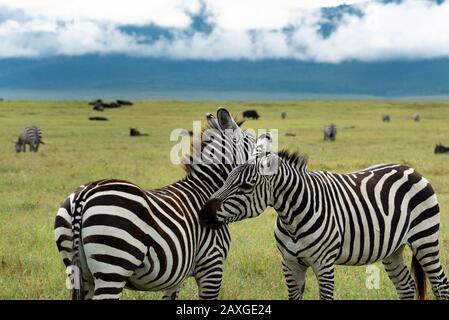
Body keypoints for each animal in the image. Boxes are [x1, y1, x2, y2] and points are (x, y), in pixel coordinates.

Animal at [54, 108, 254, 300]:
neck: (205, 189)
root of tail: (84, 195)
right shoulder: (212, 264)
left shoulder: (177, 276)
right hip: (113, 267)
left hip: (78, 270)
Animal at [201, 134, 448, 302]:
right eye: (227, 178)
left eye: (247, 186)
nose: (203, 214)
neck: (292, 219)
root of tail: (410, 169)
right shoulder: (289, 264)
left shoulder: (324, 264)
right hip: (392, 248)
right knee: (406, 286)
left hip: (425, 240)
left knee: (440, 284)